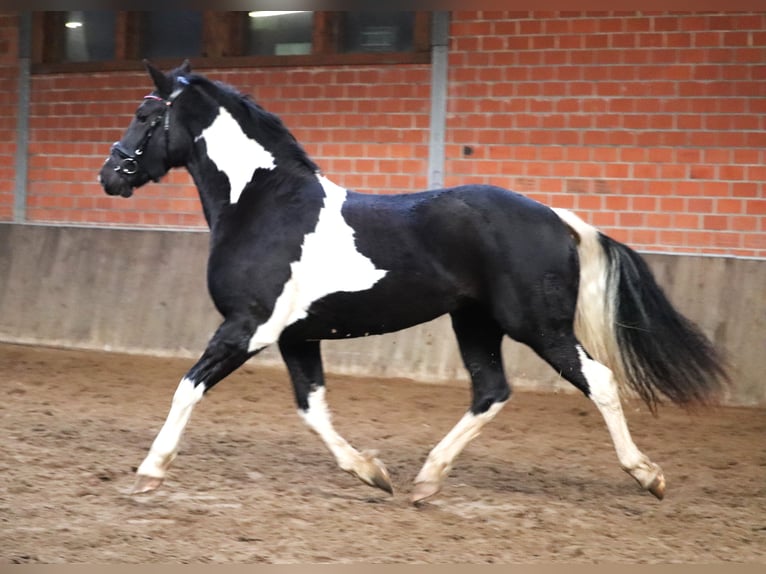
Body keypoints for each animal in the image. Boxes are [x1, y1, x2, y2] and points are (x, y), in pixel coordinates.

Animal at [99, 60, 728, 506]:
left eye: (145, 115)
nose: (110, 174)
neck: (263, 205)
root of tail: (556, 217)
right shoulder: (296, 336)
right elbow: (313, 408)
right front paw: (372, 473)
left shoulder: (248, 327)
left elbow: (188, 386)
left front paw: (149, 472)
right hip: (475, 323)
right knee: (490, 390)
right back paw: (426, 479)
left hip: (538, 326)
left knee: (597, 381)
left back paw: (648, 476)